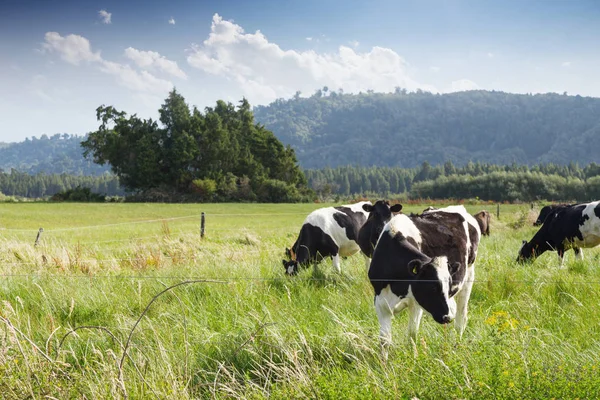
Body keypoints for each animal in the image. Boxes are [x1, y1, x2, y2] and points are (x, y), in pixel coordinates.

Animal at [368, 203, 480, 346]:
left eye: (448, 286)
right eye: (432, 287)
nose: (447, 317)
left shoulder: (416, 303)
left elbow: (412, 334)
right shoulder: (380, 301)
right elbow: (384, 340)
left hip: (469, 275)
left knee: (461, 316)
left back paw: (457, 342)